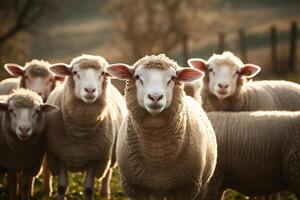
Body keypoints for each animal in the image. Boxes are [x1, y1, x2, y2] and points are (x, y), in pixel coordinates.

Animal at [44, 54, 126, 200]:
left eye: (103, 73)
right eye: (74, 72)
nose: (90, 90)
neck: (80, 132)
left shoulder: (95, 159)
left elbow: (88, 189)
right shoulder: (60, 155)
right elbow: (61, 187)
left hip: (110, 155)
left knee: (108, 173)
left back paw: (105, 193)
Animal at [106, 54, 217, 199]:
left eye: (173, 77)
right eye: (137, 77)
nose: (155, 97)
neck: (157, 155)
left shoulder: (187, 188)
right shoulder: (135, 187)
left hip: (201, 186)